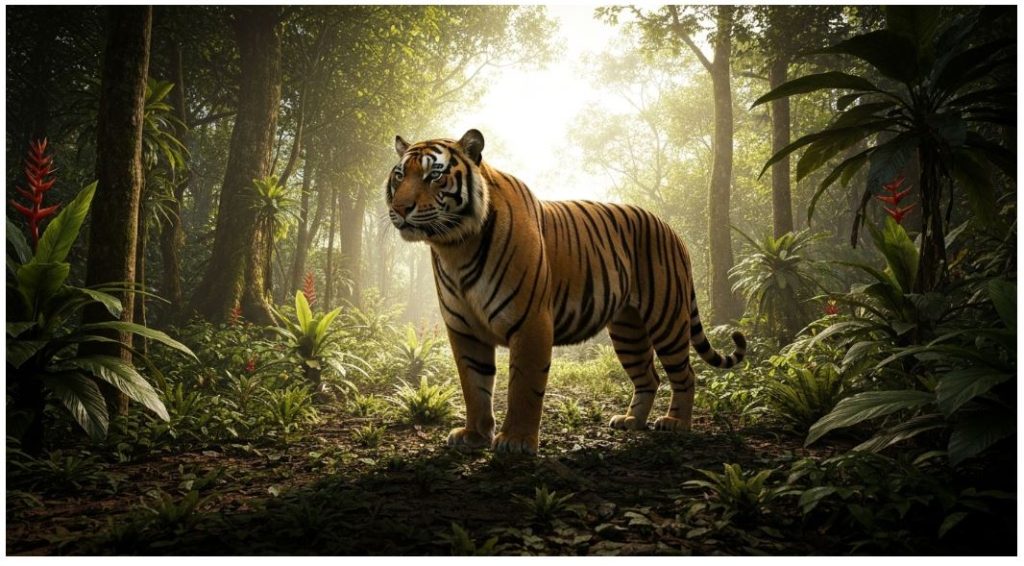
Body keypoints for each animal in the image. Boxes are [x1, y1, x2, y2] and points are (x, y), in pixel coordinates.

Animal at [386, 129, 746, 455]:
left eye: (434, 174)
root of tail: (672, 229)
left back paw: (676, 423)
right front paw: (474, 435)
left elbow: (524, 385)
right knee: (648, 376)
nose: (401, 209)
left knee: (685, 373)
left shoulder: (530, 321)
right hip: (628, 328)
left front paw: (516, 441)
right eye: (400, 175)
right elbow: (474, 385)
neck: (455, 247)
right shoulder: (464, 330)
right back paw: (631, 421)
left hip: (666, 317)